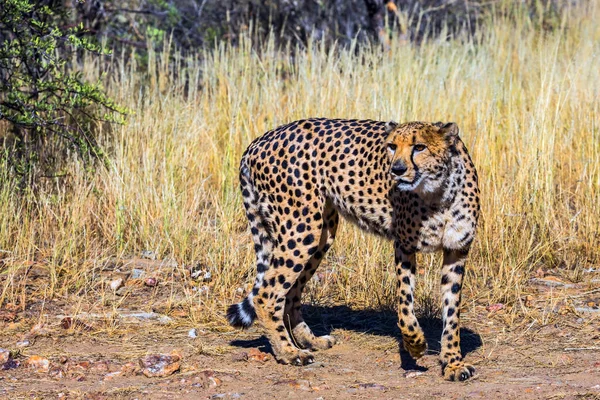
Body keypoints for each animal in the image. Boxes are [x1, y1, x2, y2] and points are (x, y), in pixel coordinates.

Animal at [227, 119, 480, 382]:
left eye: (419, 147)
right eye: (391, 146)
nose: (397, 170)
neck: (439, 193)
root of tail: (260, 140)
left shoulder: (457, 251)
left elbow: (451, 312)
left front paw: (453, 363)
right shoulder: (403, 246)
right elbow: (405, 305)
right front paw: (415, 344)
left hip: (323, 232)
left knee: (290, 292)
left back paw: (310, 341)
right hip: (301, 229)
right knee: (266, 295)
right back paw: (289, 352)